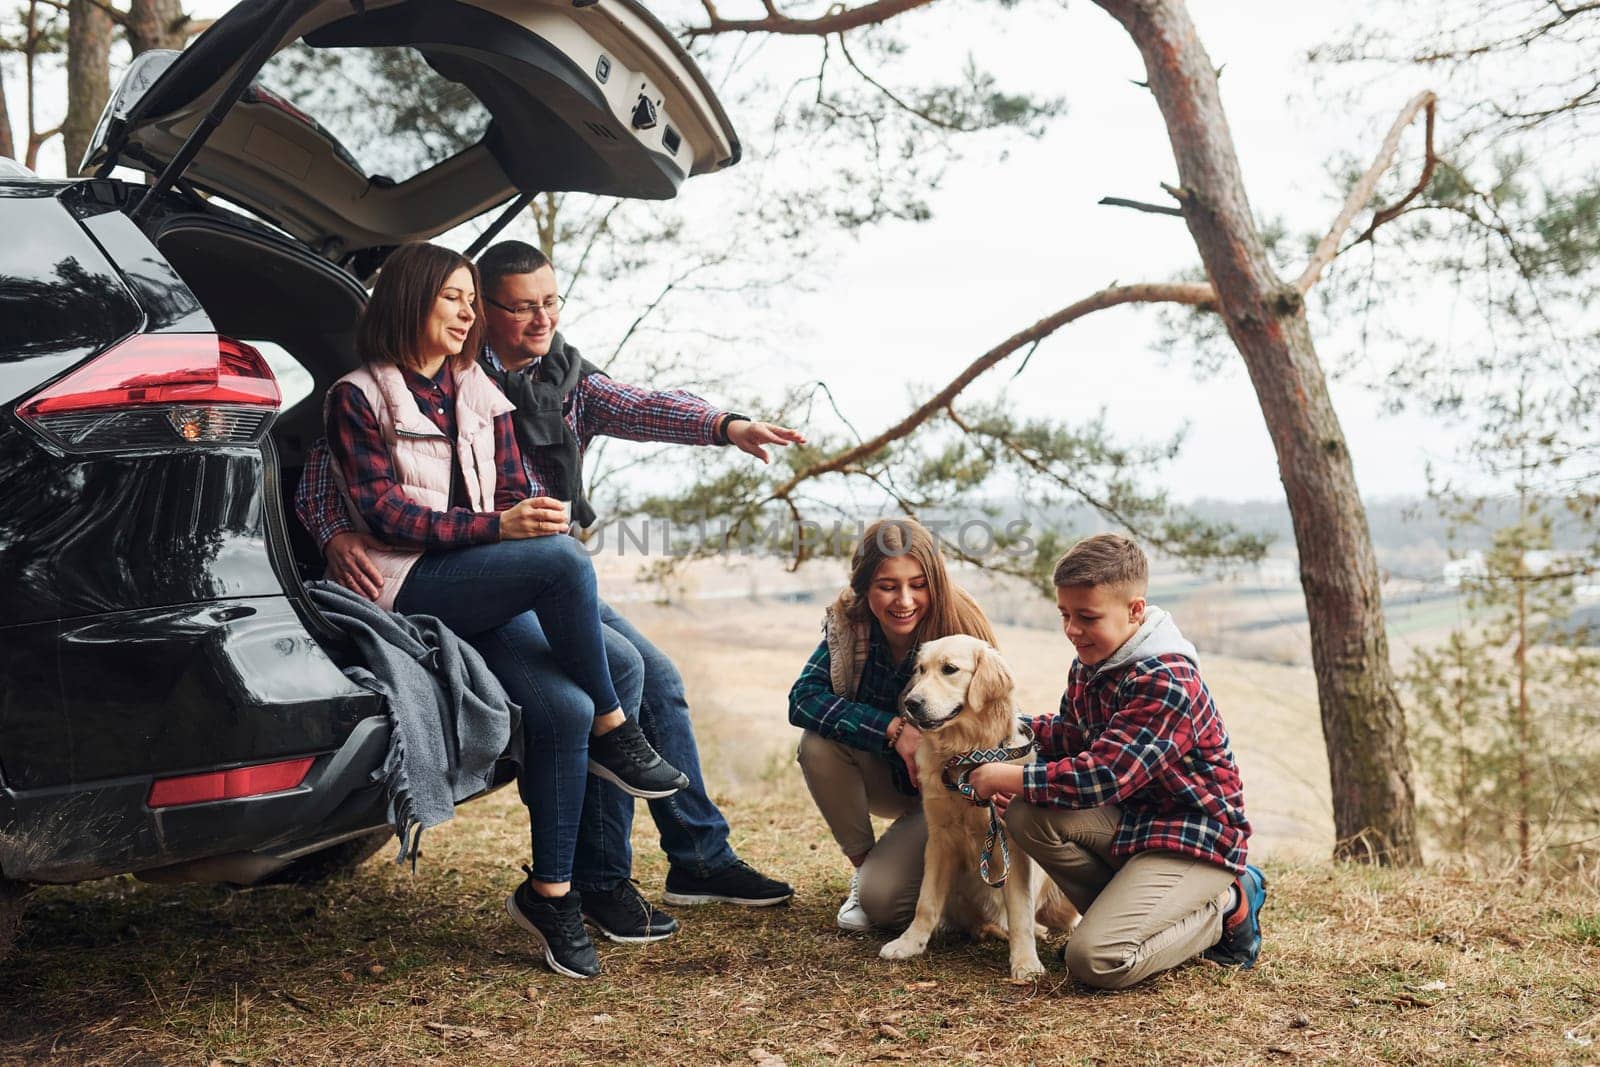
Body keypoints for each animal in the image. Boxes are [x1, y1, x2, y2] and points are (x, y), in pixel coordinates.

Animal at [876, 639, 1075, 979]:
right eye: (921, 669)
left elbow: (1020, 910)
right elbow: (926, 902)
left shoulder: (1012, 846)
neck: (965, 753)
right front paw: (910, 943)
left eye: (949, 669)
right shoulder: (940, 839)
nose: (912, 703)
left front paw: (1025, 962)